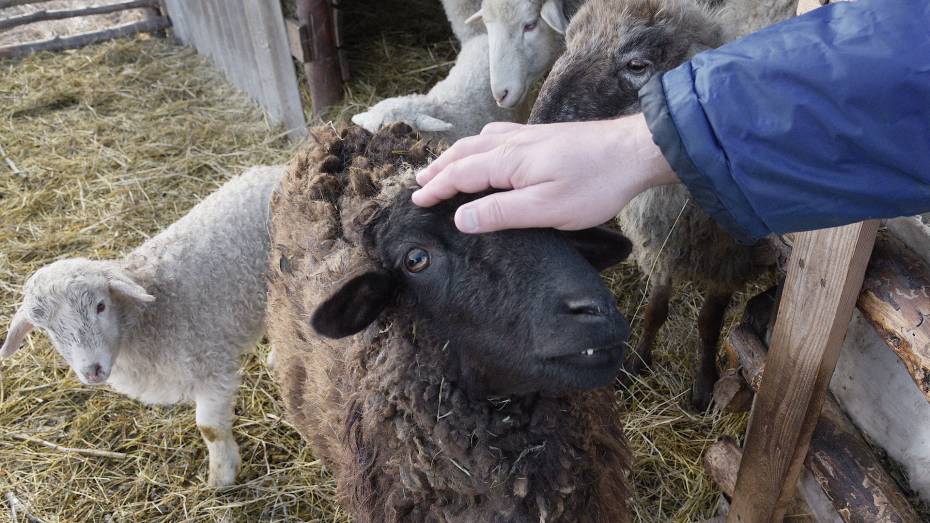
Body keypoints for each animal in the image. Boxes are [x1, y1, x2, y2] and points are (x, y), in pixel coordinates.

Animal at [0, 166, 282, 490]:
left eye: (101, 306)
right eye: (46, 328)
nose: (92, 370)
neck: (149, 314)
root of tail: (276, 169)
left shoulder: (210, 364)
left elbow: (209, 428)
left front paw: (221, 478)